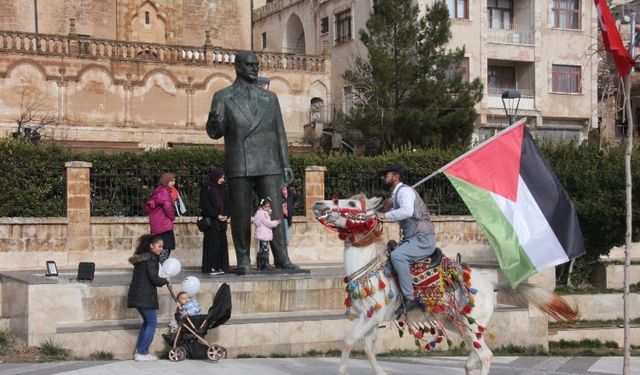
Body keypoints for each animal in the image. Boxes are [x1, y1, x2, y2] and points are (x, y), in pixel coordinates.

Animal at [312, 195, 576, 375]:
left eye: (351, 203)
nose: (319, 205)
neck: (368, 267)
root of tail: (491, 284)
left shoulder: (370, 317)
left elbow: (347, 342)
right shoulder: (371, 320)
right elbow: (368, 350)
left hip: (470, 324)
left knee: (486, 355)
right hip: (458, 323)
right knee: (473, 358)